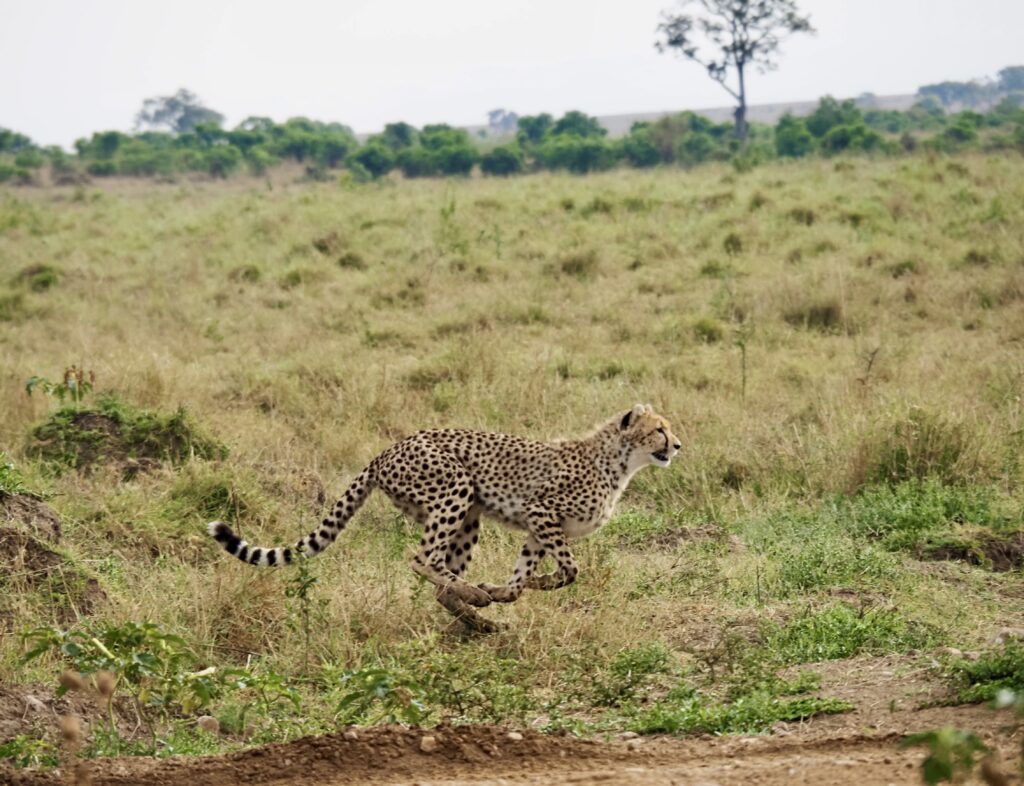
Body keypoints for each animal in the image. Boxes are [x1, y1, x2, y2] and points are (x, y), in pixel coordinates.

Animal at [208, 405, 684, 630]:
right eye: (659, 430)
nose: (678, 445)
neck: (620, 462)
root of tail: (388, 450)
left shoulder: (537, 528)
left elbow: (523, 577)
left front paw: (506, 590)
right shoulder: (541, 511)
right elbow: (571, 569)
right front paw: (520, 587)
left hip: (468, 514)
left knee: (440, 579)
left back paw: (480, 617)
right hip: (456, 489)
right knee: (421, 559)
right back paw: (472, 596)